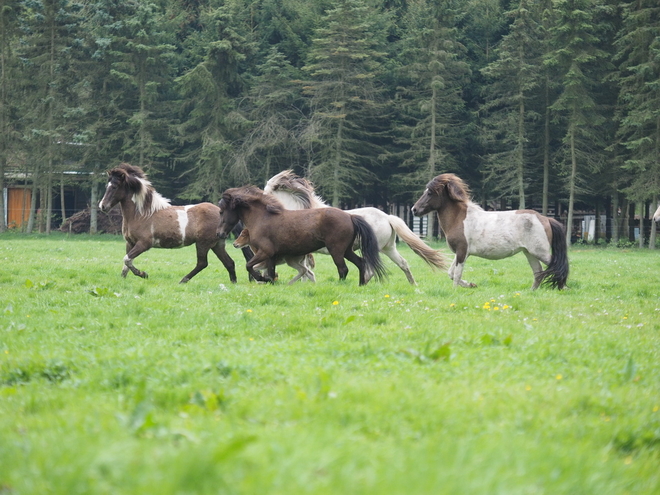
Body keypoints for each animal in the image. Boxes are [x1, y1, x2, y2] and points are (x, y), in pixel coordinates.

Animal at [95, 164, 235, 282]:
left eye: (114, 187)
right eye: (107, 186)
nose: (103, 206)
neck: (140, 214)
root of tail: (220, 211)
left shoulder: (144, 244)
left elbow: (127, 260)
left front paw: (144, 274)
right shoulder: (130, 243)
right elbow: (126, 264)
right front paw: (123, 280)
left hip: (203, 244)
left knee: (202, 263)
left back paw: (183, 280)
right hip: (217, 244)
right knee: (229, 263)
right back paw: (233, 284)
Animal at [215, 187, 386, 286]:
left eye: (221, 211)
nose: (219, 233)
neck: (263, 218)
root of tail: (350, 217)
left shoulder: (264, 252)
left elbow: (249, 266)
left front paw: (263, 279)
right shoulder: (271, 256)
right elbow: (270, 271)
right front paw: (270, 281)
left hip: (336, 250)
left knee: (343, 269)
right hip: (347, 250)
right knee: (361, 263)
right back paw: (361, 284)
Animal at [264, 171, 448, 284]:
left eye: (267, 191)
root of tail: (387, 217)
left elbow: (306, 268)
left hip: (375, 248)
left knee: (371, 268)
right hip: (388, 248)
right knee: (403, 263)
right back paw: (414, 286)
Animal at [408, 174, 568, 290]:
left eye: (430, 193)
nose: (414, 210)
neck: (459, 218)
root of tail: (545, 218)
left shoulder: (462, 251)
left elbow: (457, 275)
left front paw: (456, 290)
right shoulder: (462, 253)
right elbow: (451, 273)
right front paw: (471, 285)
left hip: (540, 252)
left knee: (558, 265)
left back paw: (563, 288)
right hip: (529, 253)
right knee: (538, 272)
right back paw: (532, 291)